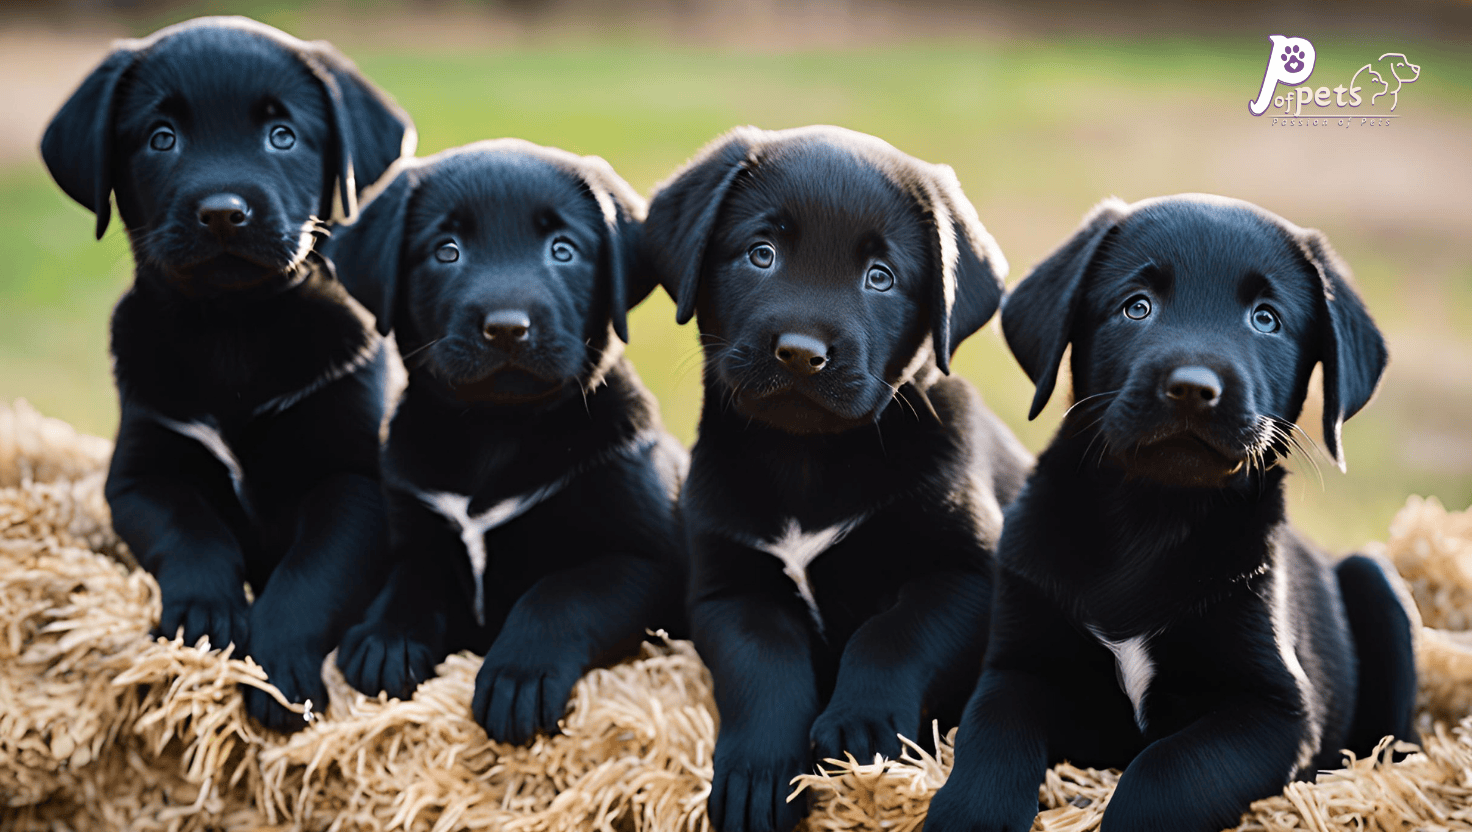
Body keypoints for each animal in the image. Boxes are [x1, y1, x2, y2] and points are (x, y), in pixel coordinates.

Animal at [38, 12, 415, 727]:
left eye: (282, 135)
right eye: (161, 138)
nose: (222, 213)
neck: (233, 329)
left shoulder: (354, 482)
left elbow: (309, 574)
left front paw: (280, 675)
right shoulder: (142, 475)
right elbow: (192, 536)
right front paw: (204, 622)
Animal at [325, 139, 685, 742]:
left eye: (563, 250)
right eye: (446, 251)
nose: (507, 327)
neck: (497, 429)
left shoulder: (647, 560)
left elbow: (560, 594)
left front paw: (519, 676)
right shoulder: (417, 529)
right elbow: (410, 578)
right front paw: (384, 639)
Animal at [644, 122, 1036, 830]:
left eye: (880, 277)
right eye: (761, 254)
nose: (801, 353)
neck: (809, 461)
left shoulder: (969, 573)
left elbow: (894, 636)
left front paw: (862, 728)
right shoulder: (731, 589)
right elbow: (766, 668)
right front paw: (758, 774)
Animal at [924, 194, 1419, 830]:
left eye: (1266, 319)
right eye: (1137, 307)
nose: (1192, 388)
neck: (1152, 517)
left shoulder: (1278, 711)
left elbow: (1165, 771)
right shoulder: (1017, 665)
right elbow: (990, 740)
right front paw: (969, 814)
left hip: (1375, 581)